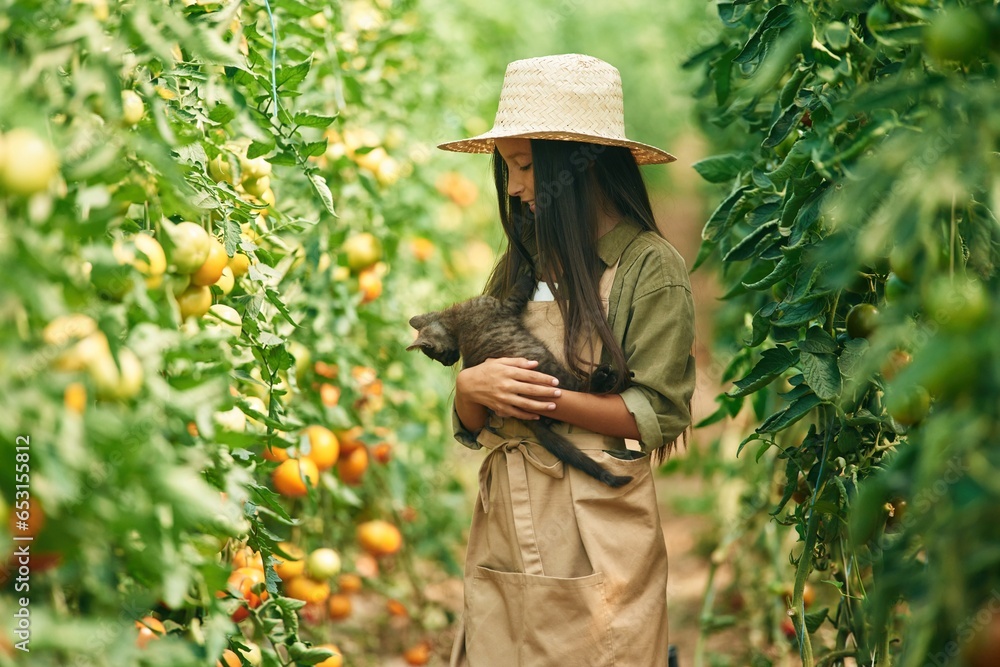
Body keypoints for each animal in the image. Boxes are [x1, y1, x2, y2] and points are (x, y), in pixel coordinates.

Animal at [406, 272, 632, 490]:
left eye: (439, 357)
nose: (447, 363)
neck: (455, 319)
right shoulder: (507, 306)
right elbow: (519, 290)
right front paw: (528, 274)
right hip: (551, 371)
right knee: (578, 388)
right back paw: (606, 379)